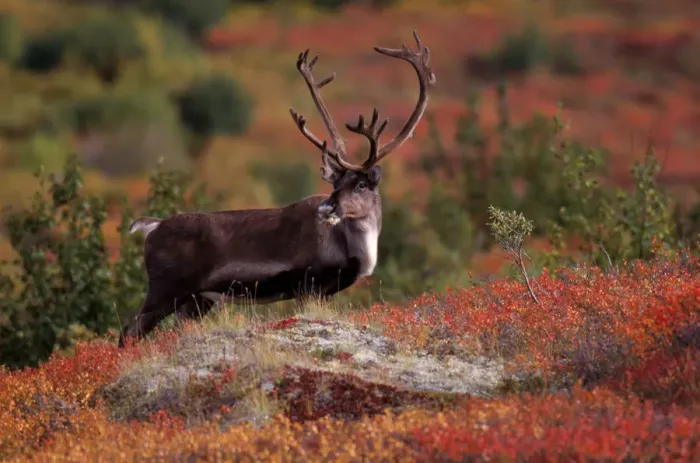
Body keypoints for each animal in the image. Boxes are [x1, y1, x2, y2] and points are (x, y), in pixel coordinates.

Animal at [117, 31, 436, 348]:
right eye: (336, 184)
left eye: (360, 184)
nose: (327, 207)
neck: (354, 247)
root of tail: (152, 226)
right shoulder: (308, 285)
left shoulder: (325, 291)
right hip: (165, 288)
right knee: (129, 330)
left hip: (196, 299)